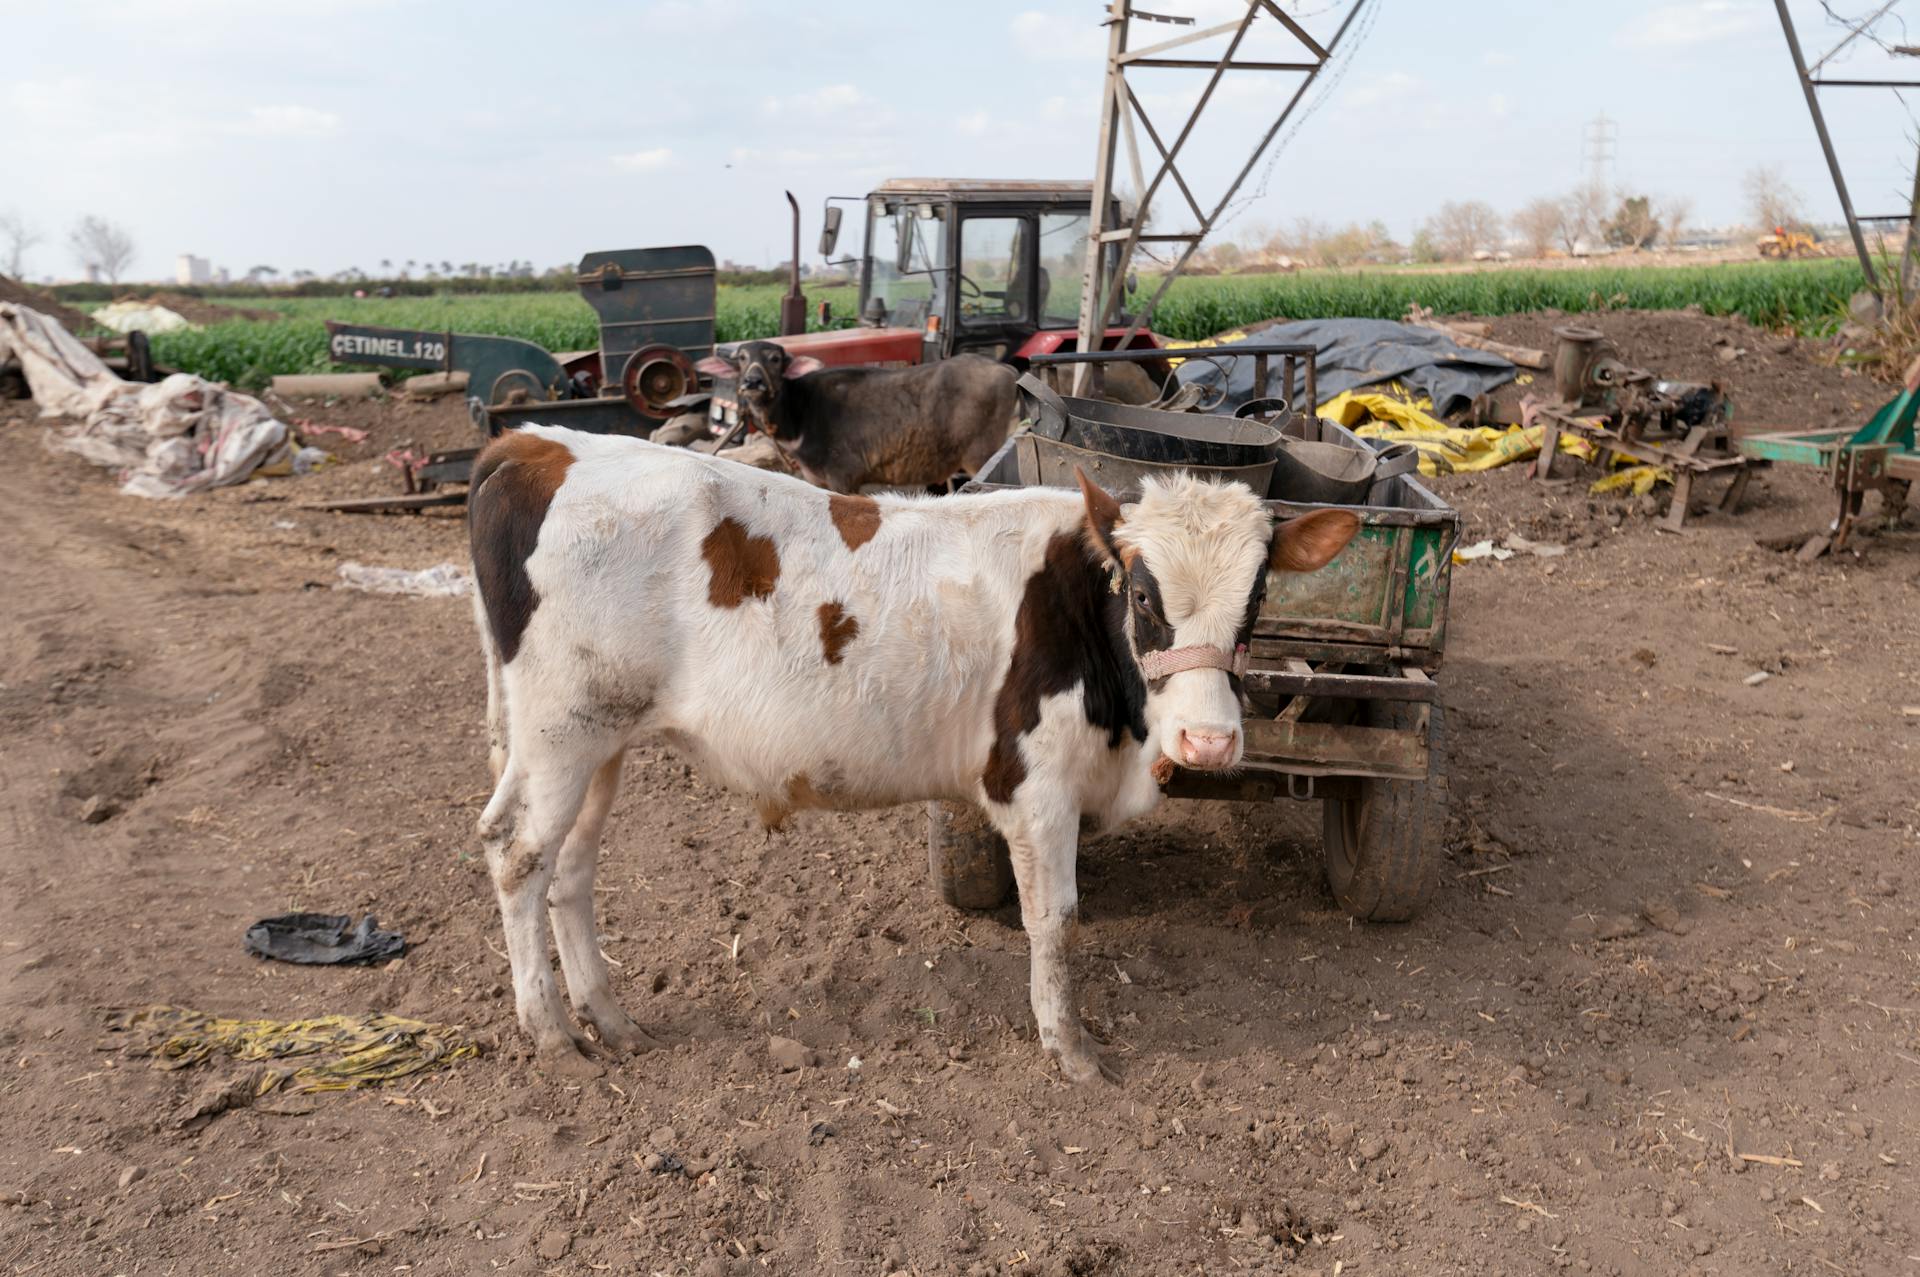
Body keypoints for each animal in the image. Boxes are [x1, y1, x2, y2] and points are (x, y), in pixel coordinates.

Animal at [470, 422, 1359, 1083]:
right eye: (1143, 594)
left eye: (1259, 595)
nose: (1209, 739)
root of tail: (540, 444)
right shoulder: (1037, 786)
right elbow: (1056, 919)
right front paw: (1071, 1046)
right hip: (561, 733)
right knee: (518, 855)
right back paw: (550, 1031)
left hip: (598, 742)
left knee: (571, 869)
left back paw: (610, 1016)